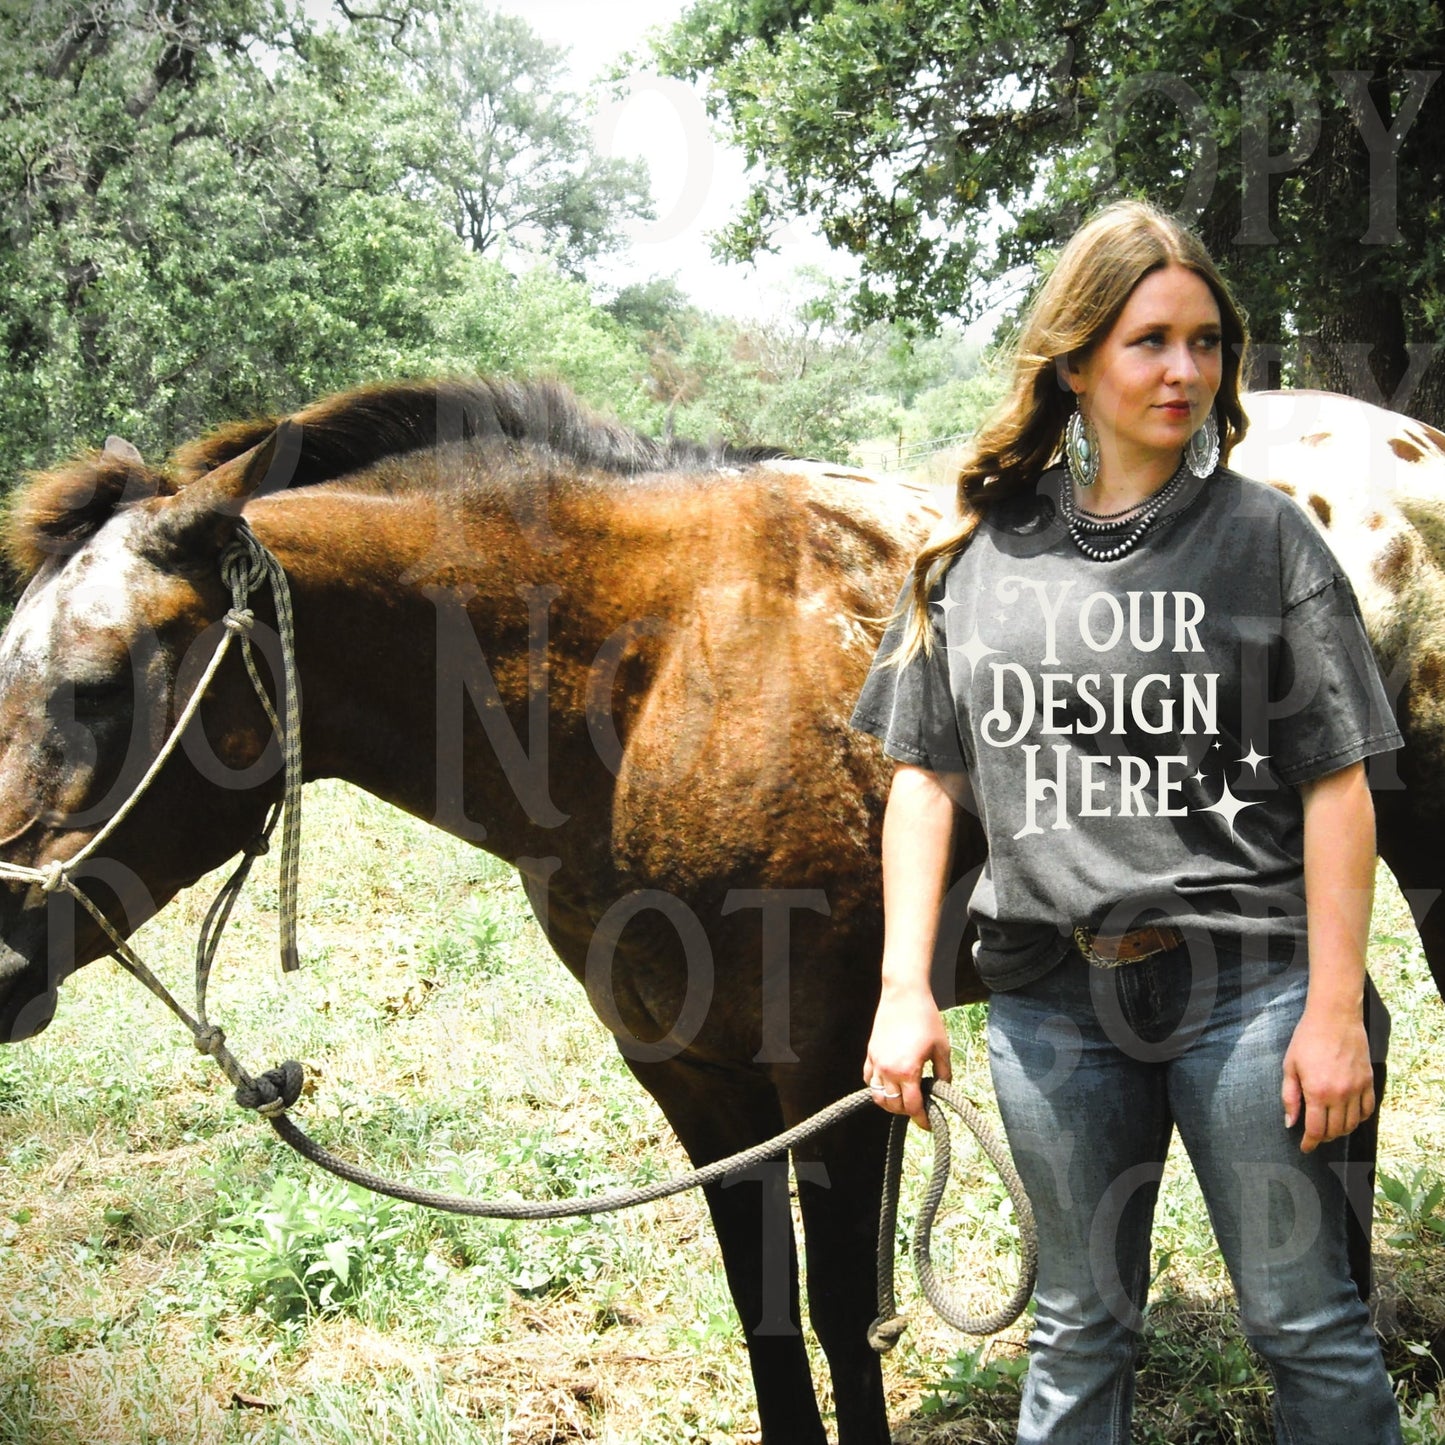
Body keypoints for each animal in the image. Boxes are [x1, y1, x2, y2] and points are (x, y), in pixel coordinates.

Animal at [0, 381, 1439, 1445]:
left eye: (99, 680)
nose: (4, 954)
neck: (654, 678)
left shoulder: (838, 1070)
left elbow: (843, 1313)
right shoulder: (696, 1077)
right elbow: (766, 1315)